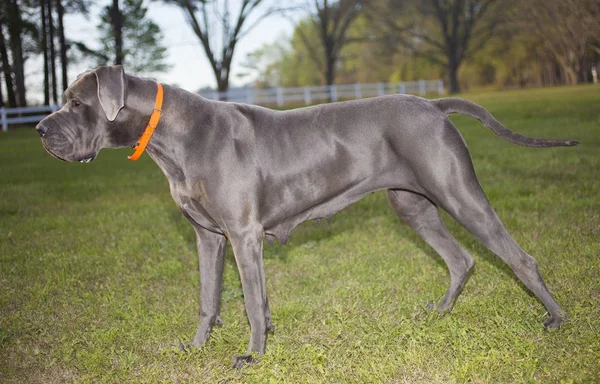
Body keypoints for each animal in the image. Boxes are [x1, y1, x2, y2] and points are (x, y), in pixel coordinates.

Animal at [36, 67, 576, 368]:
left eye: (77, 103)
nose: (40, 129)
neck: (174, 135)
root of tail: (434, 104)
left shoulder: (243, 235)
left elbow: (251, 302)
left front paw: (253, 356)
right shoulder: (209, 238)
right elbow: (211, 299)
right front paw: (197, 347)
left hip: (459, 194)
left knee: (519, 259)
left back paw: (557, 320)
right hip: (413, 205)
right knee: (461, 259)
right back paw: (440, 314)